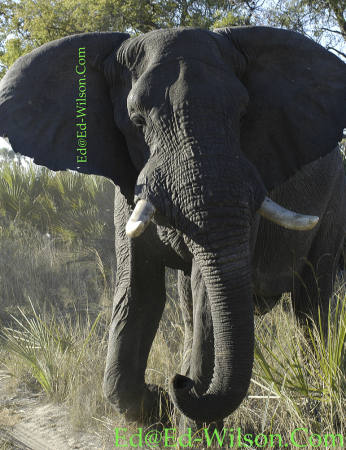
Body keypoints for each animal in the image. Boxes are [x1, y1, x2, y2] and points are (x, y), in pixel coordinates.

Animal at [0, 25, 346, 428]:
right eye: (137, 122)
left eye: (244, 114)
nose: (177, 382)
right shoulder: (129, 188)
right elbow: (139, 294)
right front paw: (158, 407)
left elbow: (205, 296)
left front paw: (185, 418)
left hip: (335, 199)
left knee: (310, 305)